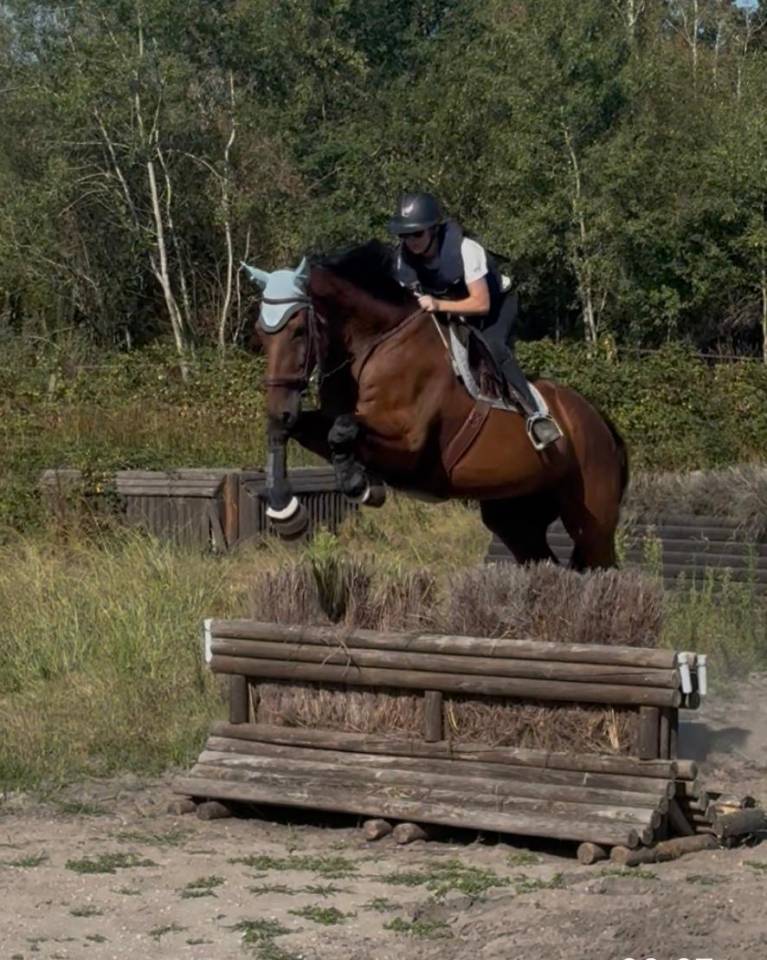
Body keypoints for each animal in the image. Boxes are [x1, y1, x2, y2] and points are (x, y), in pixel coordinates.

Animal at [244, 241, 628, 569]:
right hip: (516, 516)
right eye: (261, 334)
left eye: (298, 331)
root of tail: (600, 422)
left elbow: (343, 429)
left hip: (591, 522)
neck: (374, 345)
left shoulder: (410, 446)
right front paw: (285, 513)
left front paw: (359, 484)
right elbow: (292, 431)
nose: (280, 406)